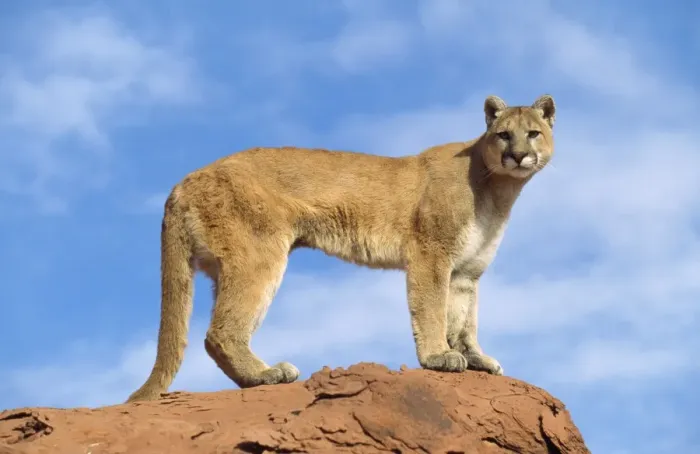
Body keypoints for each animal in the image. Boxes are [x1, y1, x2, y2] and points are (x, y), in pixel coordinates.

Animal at [126, 94, 556, 402]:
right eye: (503, 134)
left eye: (533, 133)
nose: (518, 155)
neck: (497, 189)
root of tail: (182, 182)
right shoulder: (430, 255)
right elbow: (433, 309)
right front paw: (438, 357)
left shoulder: (467, 270)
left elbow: (464, 319)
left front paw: (475, 358)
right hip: (258, 255)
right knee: (220, 332)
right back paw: (268, 374)